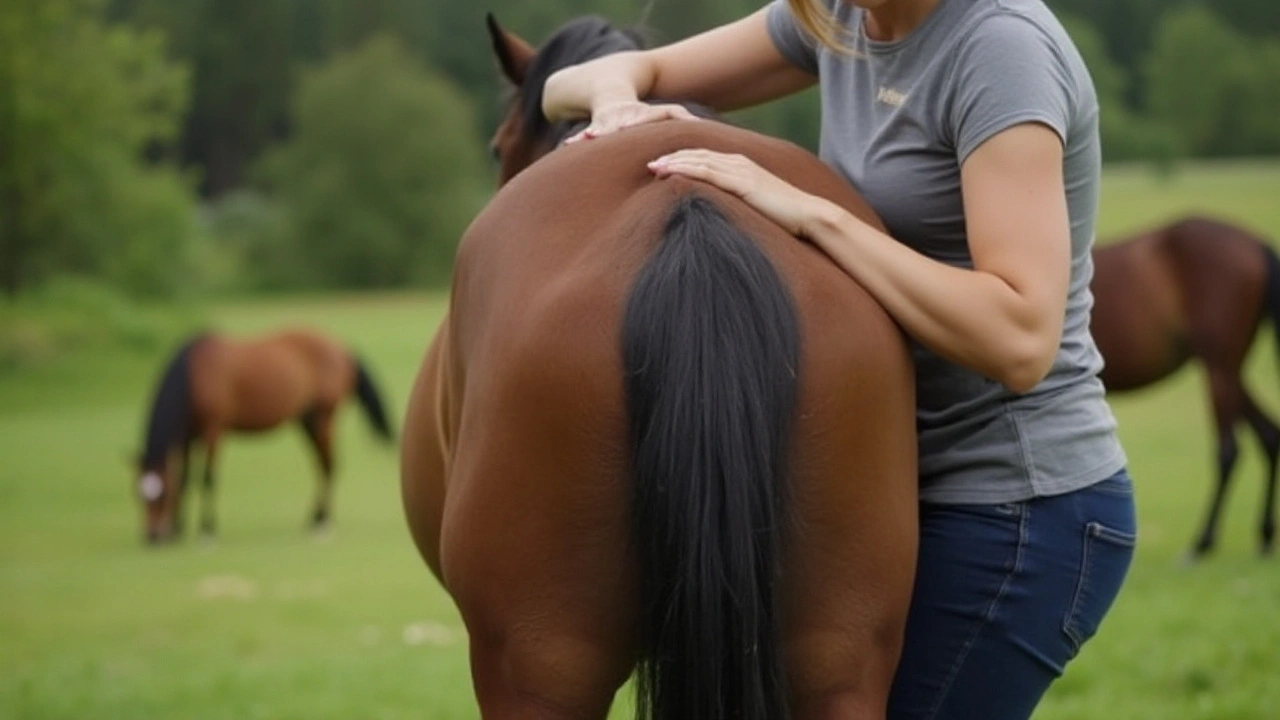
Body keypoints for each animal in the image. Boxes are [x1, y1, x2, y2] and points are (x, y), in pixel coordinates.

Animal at [133, 327, 394, 540]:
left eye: (161, 495)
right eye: (138, 494)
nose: (152, 537)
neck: (193, 376)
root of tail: (343, 349)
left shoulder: (214, 430)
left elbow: (208, 477)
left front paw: (207, 529)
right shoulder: (188, 435)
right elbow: (185, 478)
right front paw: (178, 529)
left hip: (323, 418)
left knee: (329, 464)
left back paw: (322, 520)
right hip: (306, 421)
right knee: (321, 464)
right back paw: (314, 517)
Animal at [1090, 215, 1280, 558]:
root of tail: (1257, 243)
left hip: (1218, 369)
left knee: (1229, 450)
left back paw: (1201, 543)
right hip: (1229, 371)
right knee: (1270, 434)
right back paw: (1265, 536)